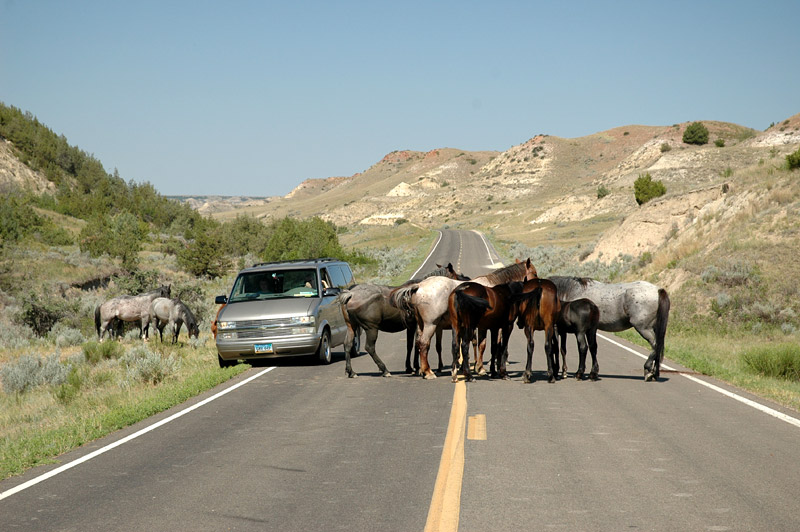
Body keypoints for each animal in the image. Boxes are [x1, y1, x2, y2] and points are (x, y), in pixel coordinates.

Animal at [338, 262, 468, 378]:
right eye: (455, 276)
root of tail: (350, 294)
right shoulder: (417, 326)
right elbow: (417, 344)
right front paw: (418, 368)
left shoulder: (411, 326)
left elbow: (410, 345)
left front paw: (410, 367)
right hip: (371, 328)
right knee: (370, 347)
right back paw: (384, 370)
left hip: (351, 326)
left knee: (347, 344)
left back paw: (351, 372)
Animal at [390, 260, 536, 380]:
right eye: (534, 273)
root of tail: (419, 286)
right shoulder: (492, 326)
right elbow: (489, 346)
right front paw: (485, 368)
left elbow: (480, 344)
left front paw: (479, 367)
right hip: (430, 325)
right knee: (424, 344)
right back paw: (428, 372)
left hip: (421, 325)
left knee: (418, 344)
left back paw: (423, 370)